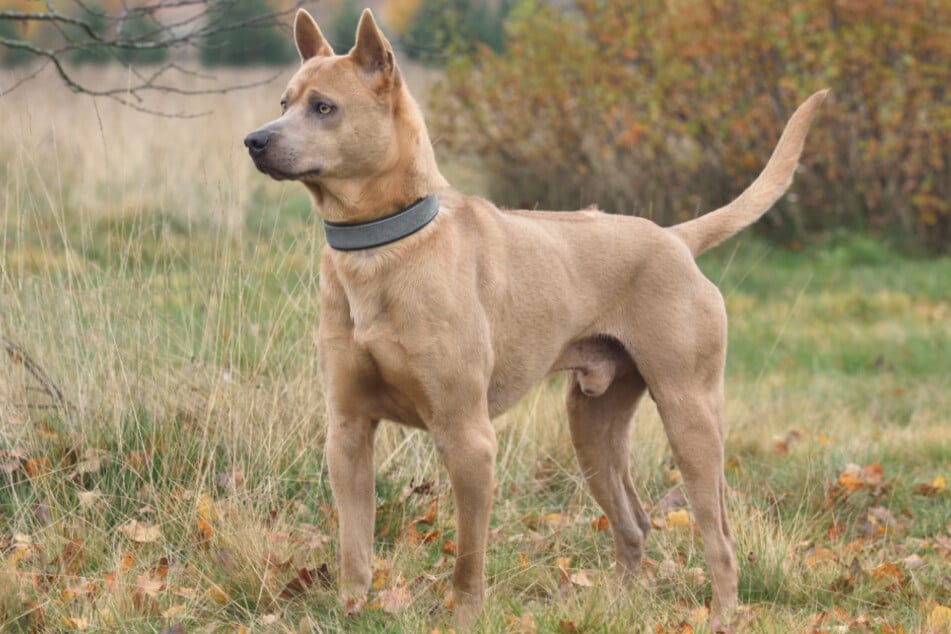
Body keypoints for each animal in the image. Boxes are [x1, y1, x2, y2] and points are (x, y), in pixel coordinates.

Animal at [245, 6, 824, 628]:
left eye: (324, 107)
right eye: (284, 101)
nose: (254, 140)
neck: (383, 249)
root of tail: (673, 238)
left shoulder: (468, 438)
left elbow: (468, 561)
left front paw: (465, 621)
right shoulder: (348, 433)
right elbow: (354, 546)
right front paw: (352, 612)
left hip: (689, 413)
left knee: (718, 534)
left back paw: (720, 616)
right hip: (592, 424)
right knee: (634, 523)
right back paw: (617, 606)